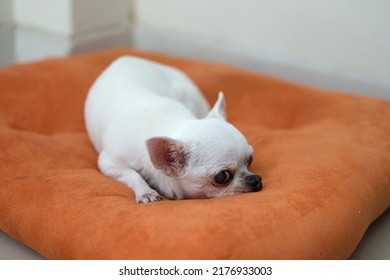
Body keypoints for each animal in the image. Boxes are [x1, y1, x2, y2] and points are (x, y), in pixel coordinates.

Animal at [85, 55, 262, 203]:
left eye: (250, 159)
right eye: (222, 176)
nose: (256, 179)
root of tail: (127, 57)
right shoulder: (109, 163)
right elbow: (132, 174)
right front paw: (146, 191)